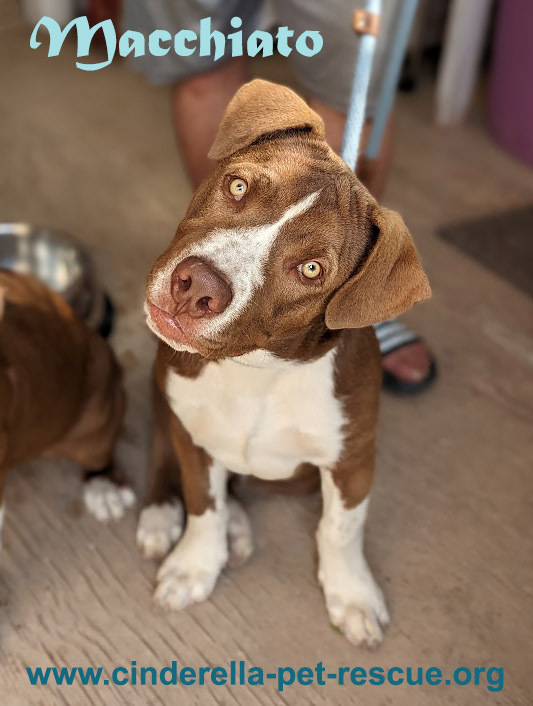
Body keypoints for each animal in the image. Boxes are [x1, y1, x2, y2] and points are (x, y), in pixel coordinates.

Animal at [139, 80, 430, 648]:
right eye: (236, 187)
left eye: (311, 269)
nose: (197, 286)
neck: (255, 373)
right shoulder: (190, 428)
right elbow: (202, 501)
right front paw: (195, 564)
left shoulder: (352, 459)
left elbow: (340, 530)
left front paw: (353, 594)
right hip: (162, 392)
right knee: (166, 454)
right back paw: (164, 515)